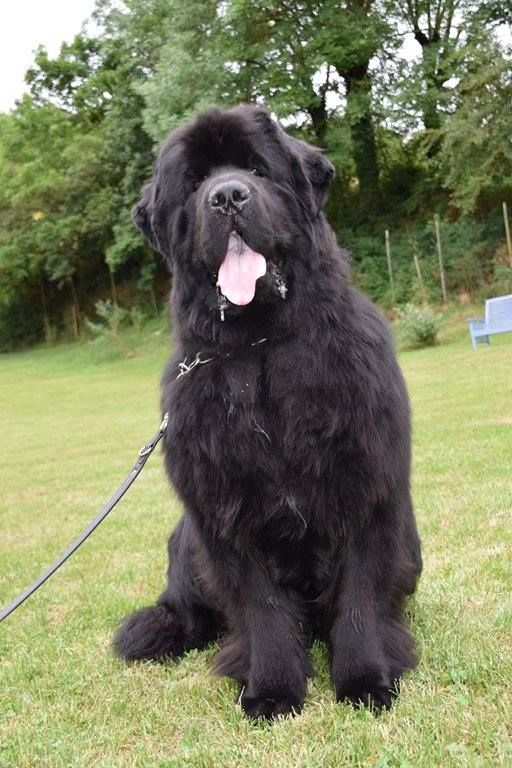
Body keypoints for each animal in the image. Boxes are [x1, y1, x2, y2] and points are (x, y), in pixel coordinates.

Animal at [114, 105, 422, 716]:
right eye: (193, 184)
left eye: (257, 168)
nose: (228, 197)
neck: (259, 346)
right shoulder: (223, 510)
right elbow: (263, 609)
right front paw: (273, 690)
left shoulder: (369, 488)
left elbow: (360, 596)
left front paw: (366, 681)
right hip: (185, 542)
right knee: (189, 611)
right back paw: (162, 630)